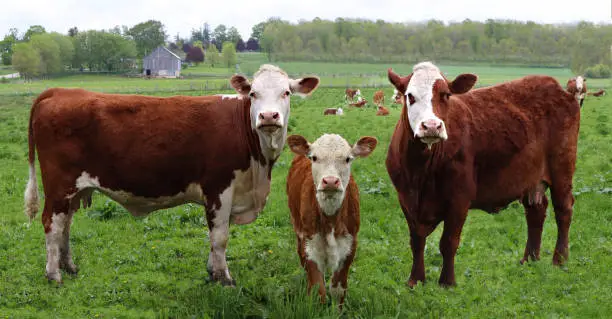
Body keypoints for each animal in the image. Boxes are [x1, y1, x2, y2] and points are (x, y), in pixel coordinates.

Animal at [22, 64, 320, 284]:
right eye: (254, 94)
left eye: (286, 93)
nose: (268, 117)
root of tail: (59, 91)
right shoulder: (219, 188)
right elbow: (220, 237)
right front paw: (224, 278)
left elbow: (216, 237)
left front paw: (212, 271)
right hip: (59, 185)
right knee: (52, 224)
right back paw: (54, 273)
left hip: (73, 190)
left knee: (65, 224)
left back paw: (68, 265)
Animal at [286, 134, 378, 306]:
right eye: (314, 157)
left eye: (348, 159)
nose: (329, 181)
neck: (331, 220)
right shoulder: (310, 244)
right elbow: (318, 290)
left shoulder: (350, 246)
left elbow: (338, 290)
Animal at [388, 61, 580, 288]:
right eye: (410, 96)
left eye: (446, 95)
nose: (432, 126)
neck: (421, 172)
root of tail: (558, 89)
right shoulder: (406, 199)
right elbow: (417, 241)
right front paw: (415, 280)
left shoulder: (459, 199)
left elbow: (448, 242)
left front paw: (447, 282)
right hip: (530, 178)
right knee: (536, 213)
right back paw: (529, 260)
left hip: (562, 170)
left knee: (563, 210)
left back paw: (560, 259)